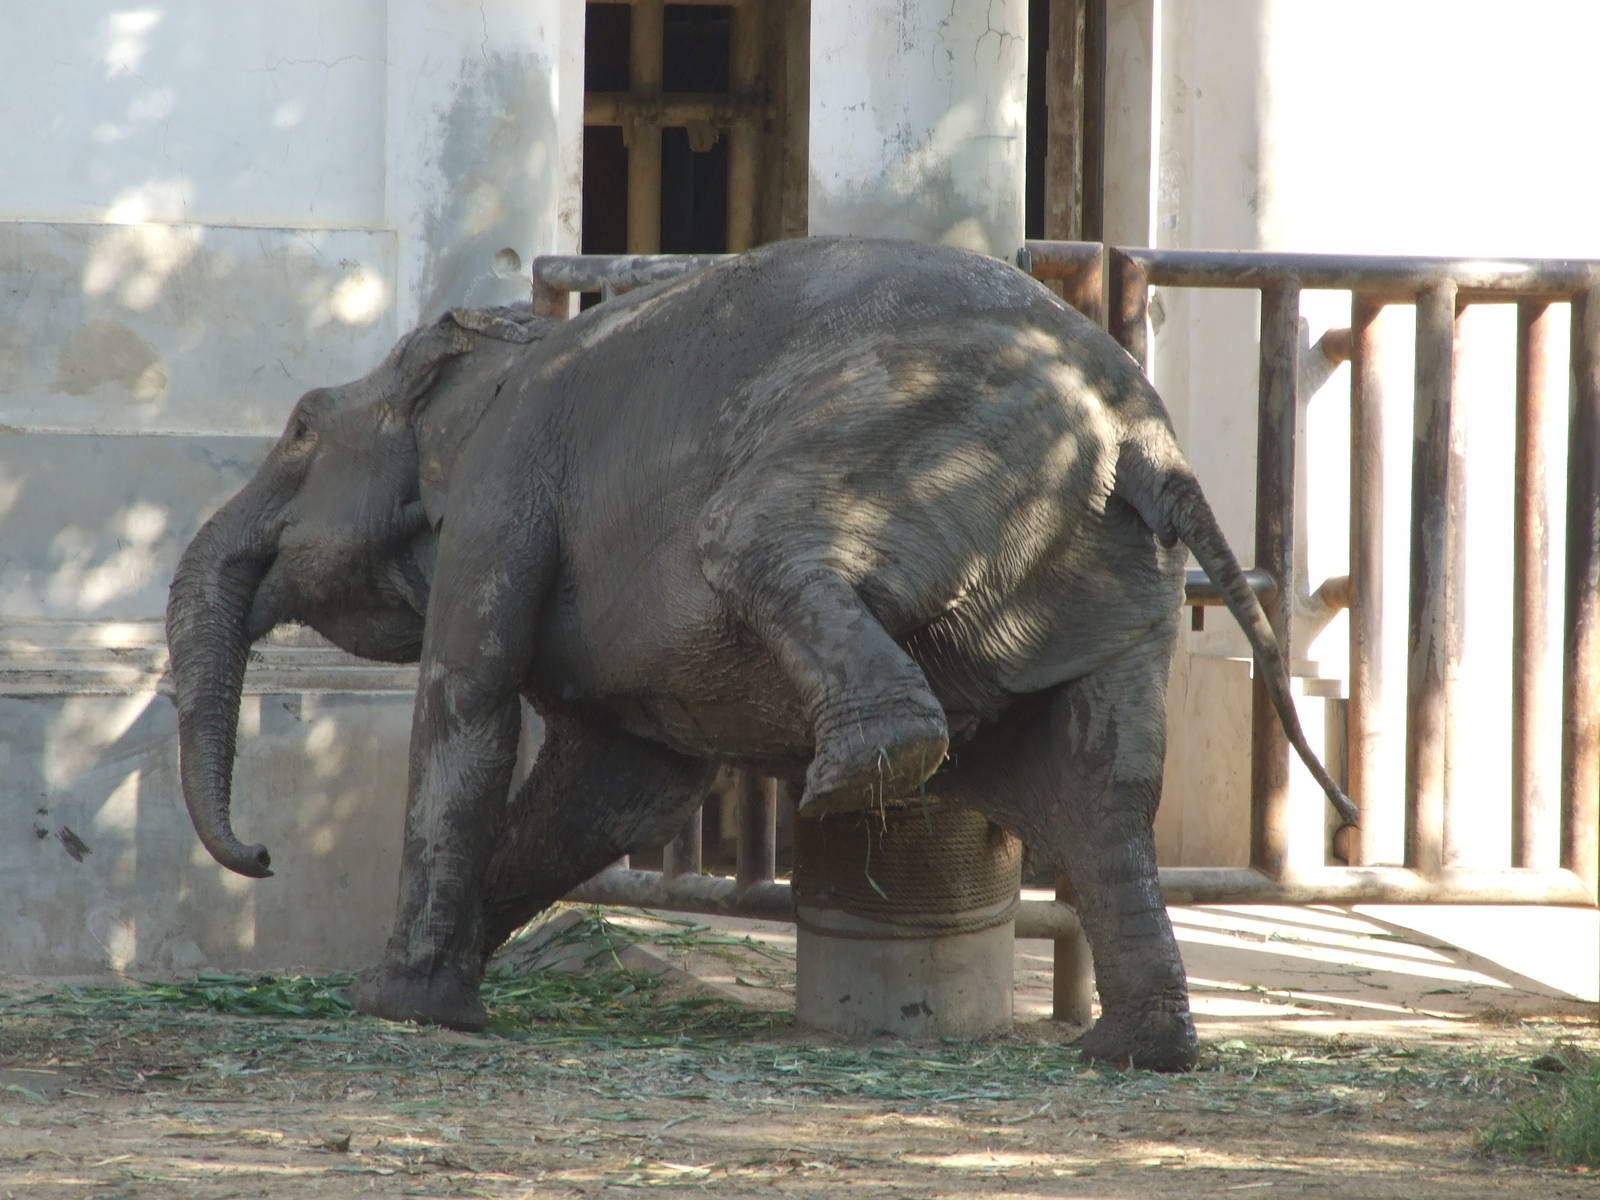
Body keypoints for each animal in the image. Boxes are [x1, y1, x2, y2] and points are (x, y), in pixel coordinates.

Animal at [167, 236, 1356, 1072]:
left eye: (300, 428)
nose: (261, 854)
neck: (499, 347)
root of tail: (1142, 435)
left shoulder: (504, 493)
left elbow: (470, 703)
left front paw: (395, 1006)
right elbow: (624, 786)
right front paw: (438, 987)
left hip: (913, 440)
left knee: (753, 539)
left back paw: (849, 783)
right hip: (1112, 577)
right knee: (1097, 788)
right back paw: (1132, 1051)